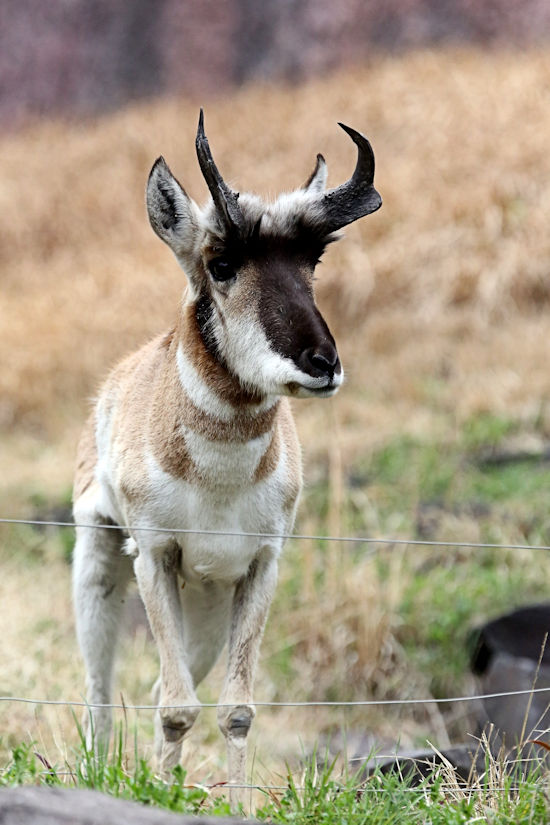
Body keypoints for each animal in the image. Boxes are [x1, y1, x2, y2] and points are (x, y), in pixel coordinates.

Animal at [72, 109, 384, 800]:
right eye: (221, 263)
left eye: (312, 258)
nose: (323, 363)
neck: (217, 476)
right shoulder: (154, 557)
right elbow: (177, 707)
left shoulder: (259, 566)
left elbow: (234, 708)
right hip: (101, 563)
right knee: (102, 687)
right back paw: (105, 774)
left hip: (208, 601)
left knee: (167, 681)